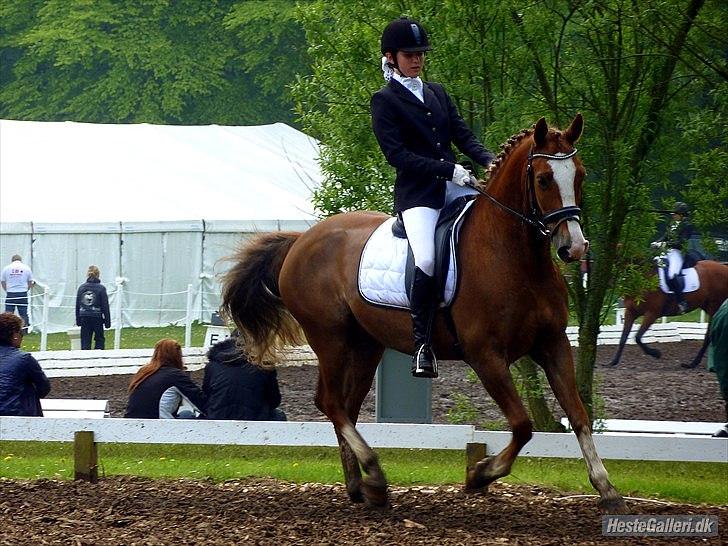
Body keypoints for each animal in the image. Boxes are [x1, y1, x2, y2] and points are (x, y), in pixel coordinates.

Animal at [223, 112, 632, 512]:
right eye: (544, 179)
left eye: (579, 175)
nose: (573, 247)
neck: (515, 257)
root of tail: (301, 240)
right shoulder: (486, 356)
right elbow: (522, 425)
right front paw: (479, 475)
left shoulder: (554, 344)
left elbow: (578, 415)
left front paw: (607, 489)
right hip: (330, 339)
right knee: (330, 402)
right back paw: (374, 475)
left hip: (365, 345)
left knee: (346, 407)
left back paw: (361, 487)